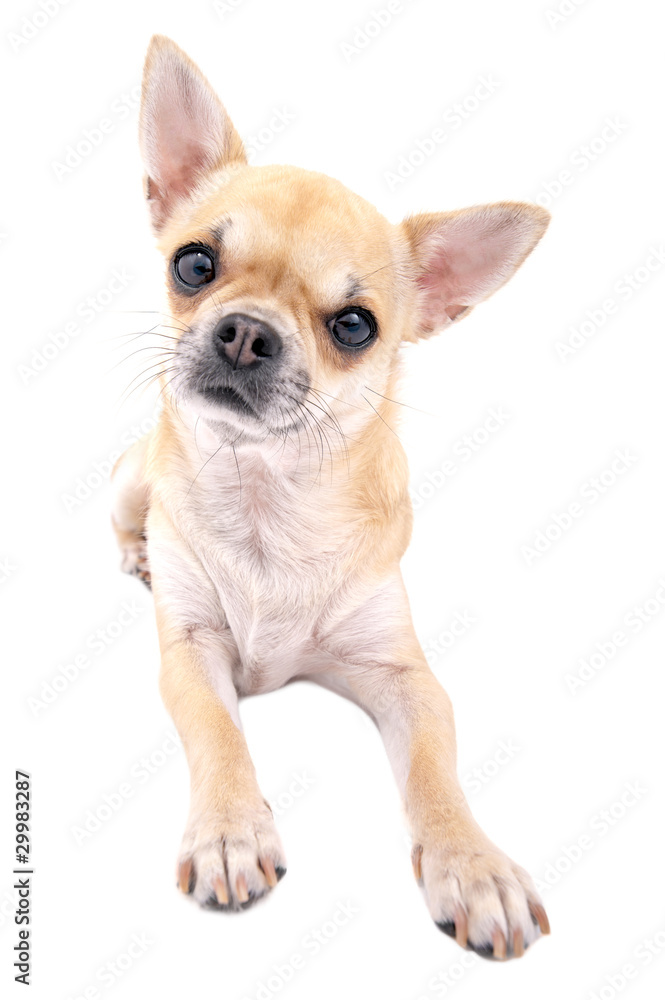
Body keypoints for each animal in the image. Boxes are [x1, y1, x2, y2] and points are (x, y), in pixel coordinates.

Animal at [113, 35, 548, 960]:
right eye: (193, 264)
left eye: (354, 326)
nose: (246, 330)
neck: (266, 494)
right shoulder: (189, 654)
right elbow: (219, 736)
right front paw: (231, 830)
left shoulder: (407, 679)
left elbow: (435, 774)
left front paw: (474, 866)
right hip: (133, 474)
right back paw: (139, 551)